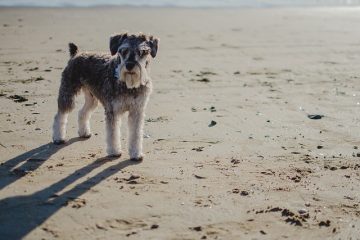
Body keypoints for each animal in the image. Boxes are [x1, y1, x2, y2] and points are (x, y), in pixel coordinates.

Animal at [51, 32, 158, 160]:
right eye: (123, 51)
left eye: (142, 52)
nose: (129, 66)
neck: (128, 85)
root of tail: (76, 54)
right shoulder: (112, 110)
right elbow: (112, 133)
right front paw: (114, 151)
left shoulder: (137, 110)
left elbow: (136, 134)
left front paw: (136, 154)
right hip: (67, 94)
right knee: (60, 114)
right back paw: (58, 138)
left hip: (92, 99)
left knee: (82, 112)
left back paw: (84, 132)